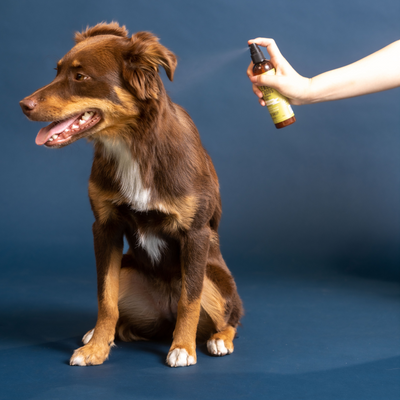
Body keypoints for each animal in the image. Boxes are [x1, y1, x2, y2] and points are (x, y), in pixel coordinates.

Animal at [20, 21, 242, 366]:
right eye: (56, 71)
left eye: (80, 77)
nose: (23, 105)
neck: (132, 144)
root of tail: (163, 314)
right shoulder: (105, 226)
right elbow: (105, 298)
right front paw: (97, 347)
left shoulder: (195, 233)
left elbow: (189, 300)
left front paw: (183, 347)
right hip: (127, 268)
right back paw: (101, 334)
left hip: (217, 281)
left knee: (230, 317)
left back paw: (218, 339)